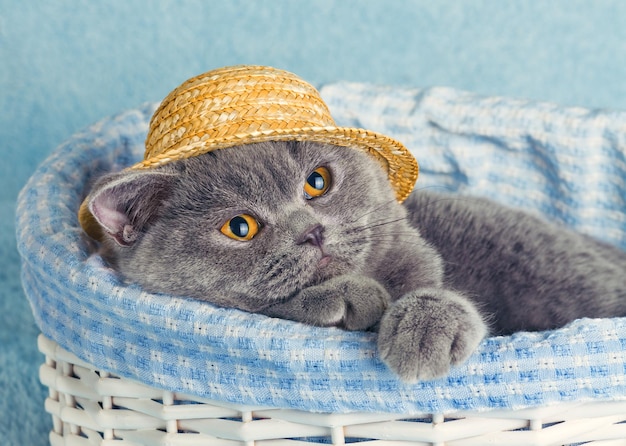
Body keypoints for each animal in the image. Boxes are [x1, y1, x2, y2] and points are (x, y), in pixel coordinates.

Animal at [83, 141, 624, 382]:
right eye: (240, 227)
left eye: (317, 182)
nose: (311, 231)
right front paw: (351, 298)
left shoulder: (418, 255)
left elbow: (428, 285)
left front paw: (426, 328)